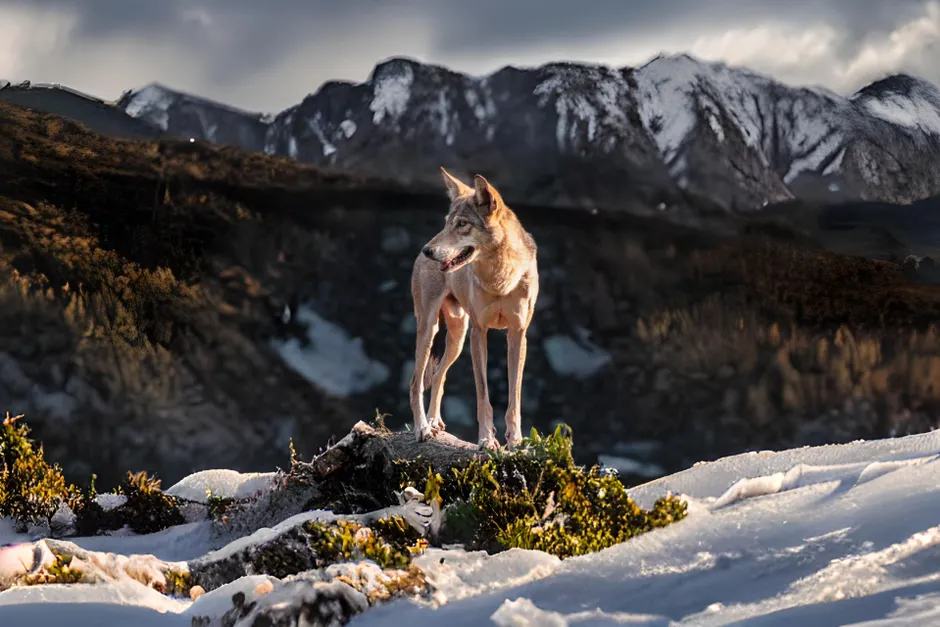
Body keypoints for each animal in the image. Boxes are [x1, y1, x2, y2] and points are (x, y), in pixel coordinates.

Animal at [409, 167, 539, 449]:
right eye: (447, 223)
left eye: (462, 224)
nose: (427, 251)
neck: (500, 278)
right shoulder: (480, 332)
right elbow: (483, 395)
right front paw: (486, 440)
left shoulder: (517, 334)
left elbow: (515, 398)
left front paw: (515, 441)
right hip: (430, 330)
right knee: (416, 382)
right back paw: (422, 428)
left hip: (457, 338)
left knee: (438, 376)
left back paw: (434, 422)